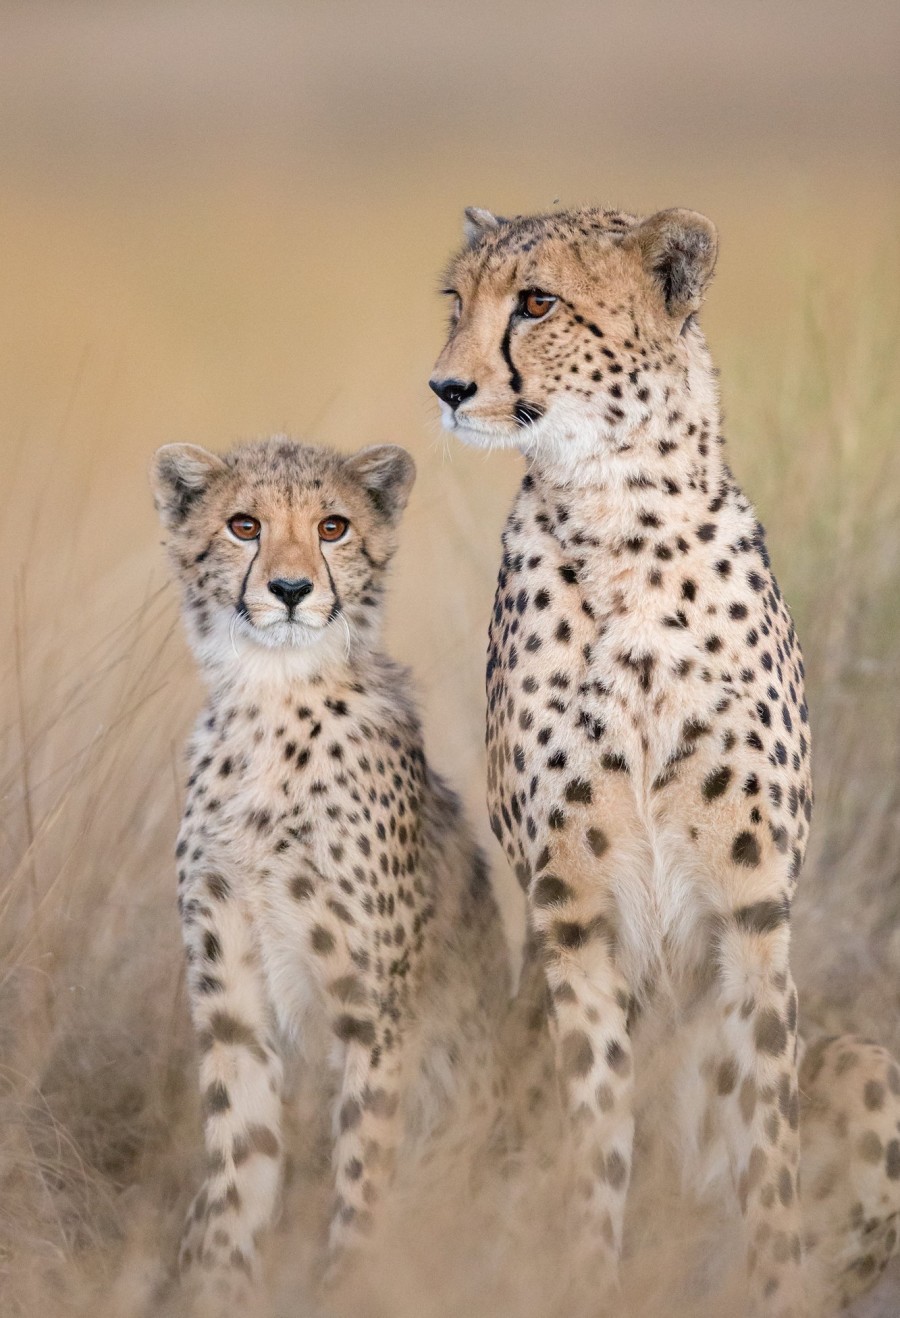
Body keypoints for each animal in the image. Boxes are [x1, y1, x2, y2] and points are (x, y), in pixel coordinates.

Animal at [151, 437, 511, 1312]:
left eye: (333, 526)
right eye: (244, 525)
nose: (290, 589)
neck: (273, 699)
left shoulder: (374, 1015)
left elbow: (363, 1174)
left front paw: (347, 1283)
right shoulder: (232, 1007)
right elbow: (237, 1165)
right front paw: (219, 1284)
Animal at [432, 200, 816, 1312]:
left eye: (537, 303)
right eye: (456, 300)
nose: (446, 386)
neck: (623, 514)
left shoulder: (755, 905)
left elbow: (763, 1143)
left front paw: (779, 1279)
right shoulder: (572, 909)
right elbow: (599, 1135)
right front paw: (588, 1276)